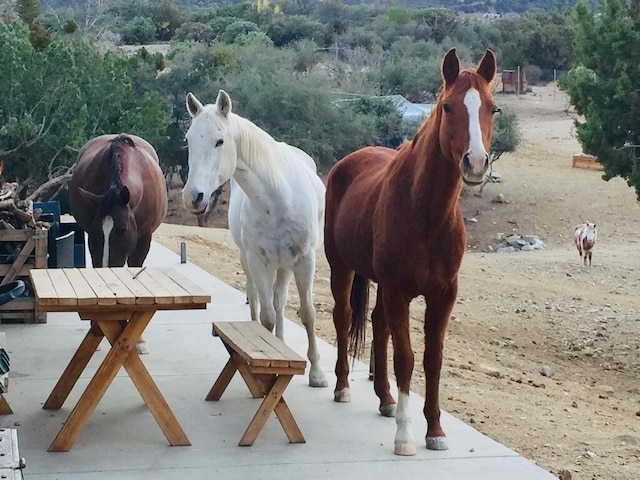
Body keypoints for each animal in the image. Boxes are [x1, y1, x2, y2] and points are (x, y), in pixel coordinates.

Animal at [181, 91, 328, 390]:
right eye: (188, 140)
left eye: (219, 140)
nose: (193, 198)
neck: (279, 198)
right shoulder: (258, 261)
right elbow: (266, 317)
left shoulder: (305, 260)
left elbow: (308, 314)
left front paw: (317, 373)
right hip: (250, 261)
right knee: (260, 302)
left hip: (285, 265)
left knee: (281, 299)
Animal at [324, 49, 500, 458]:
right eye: (448, 106)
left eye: (493, 108)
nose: (476, 162)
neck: (426, 214)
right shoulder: (398, 290)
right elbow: (406, 358)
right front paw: (405, 437)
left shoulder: (443, 295)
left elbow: (433, 359)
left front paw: (435, 430)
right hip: (341, 267)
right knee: (343, 318)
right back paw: (342, 387)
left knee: (377, 324)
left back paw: (386, 399)